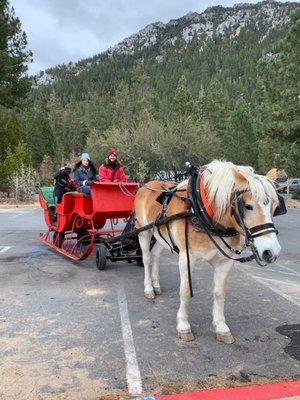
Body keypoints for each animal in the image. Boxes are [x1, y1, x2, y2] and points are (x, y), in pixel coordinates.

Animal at [134, 159, 282, 344]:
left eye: (275, 207)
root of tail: (147, 184)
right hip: (144, 231)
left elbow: (219, 292)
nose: (271, 252)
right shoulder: (186, 258)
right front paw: (183, 326)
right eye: (248, 206)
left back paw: (156, 285)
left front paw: (221, 327)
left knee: (156, 256)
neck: (203, 212)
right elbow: (185, 291)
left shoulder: (225, 262)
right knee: (147, 258)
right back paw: (148, 288)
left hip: (160, 235)